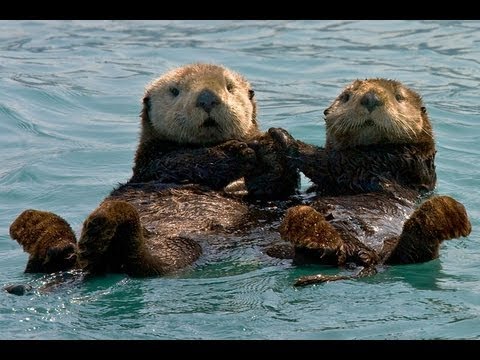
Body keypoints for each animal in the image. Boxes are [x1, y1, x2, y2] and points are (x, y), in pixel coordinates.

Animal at [6, 63, 300, 286]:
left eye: (229, 87)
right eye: (175, 91)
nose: (207, 98)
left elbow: (273, 185)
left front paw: (270, 145)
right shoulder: (155, 162)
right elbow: (187, 161)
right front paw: (239, 151)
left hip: (183, 248)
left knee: (142, 264)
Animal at [272, 79, 470, 286]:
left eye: (399, 97)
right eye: (347, 97)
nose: (371, 98)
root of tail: (366, 256)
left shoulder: (384, 161)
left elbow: (327, 162)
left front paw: (280, 135)